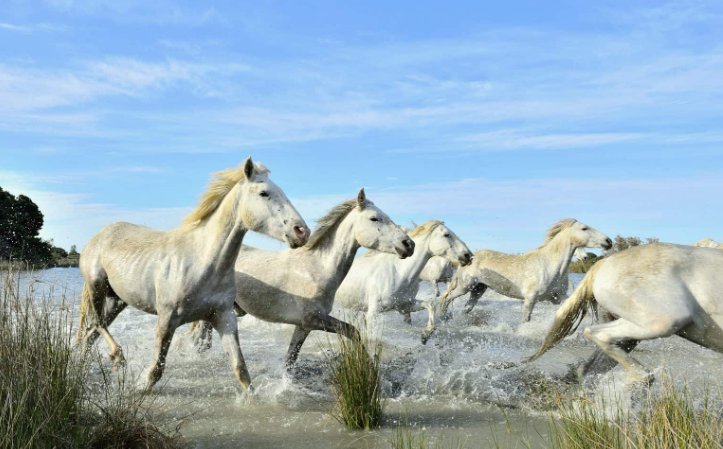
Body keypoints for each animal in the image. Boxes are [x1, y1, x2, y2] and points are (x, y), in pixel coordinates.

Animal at [77, 159, 308, 390]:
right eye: (264, 193)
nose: (302, 232)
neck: (203, 263)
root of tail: (98, 236)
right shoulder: (166, 319)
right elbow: (155, 371)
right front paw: (138, 389)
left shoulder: (224, 317)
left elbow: (241, 370)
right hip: (96, 286)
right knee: (97, 324)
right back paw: (117, 358)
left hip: (117, 301)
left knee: (90, 334)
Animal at [192, 189, 416, 368]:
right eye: (374, 218)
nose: (408, 244)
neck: (317, 269)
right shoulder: (314, 319)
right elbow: (352, 331)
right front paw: (368, 365)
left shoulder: (303, 326)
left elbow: (290, 359)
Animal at [336, 219, 472, 342]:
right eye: (446, 234)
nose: (468, 255)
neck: (399, 273)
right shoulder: (373, 313)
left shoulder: (404, 306)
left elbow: (430, 304)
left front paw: (426, 334)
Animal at [442, 218, 612, 320]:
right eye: (584, 228)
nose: (608, 241)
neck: (550, 266)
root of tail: (468, 257)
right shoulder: (530, 299)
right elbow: (526, 320)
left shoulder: (558, 297)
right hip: (464, 286)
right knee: (446, 298)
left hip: (478, 289)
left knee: (467, 307)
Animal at [528, 243, 723, 384]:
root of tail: (600, 266)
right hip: (664, 320)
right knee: (596, 335)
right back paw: (642, 377)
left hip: (629, 335)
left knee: (587, 369)